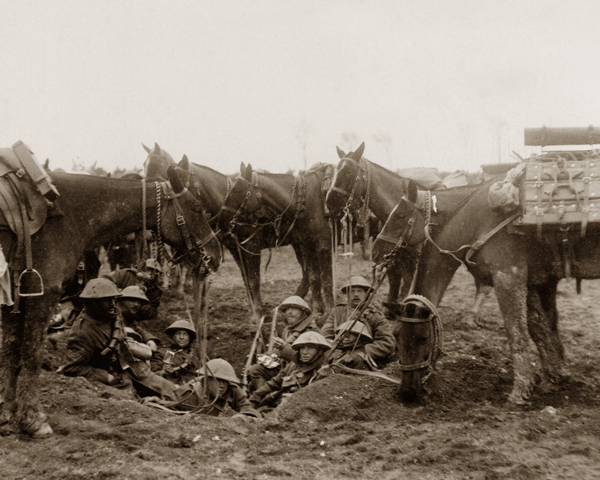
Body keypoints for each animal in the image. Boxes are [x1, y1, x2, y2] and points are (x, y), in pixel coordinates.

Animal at [0, 156, 221, 436]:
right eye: (195, 208)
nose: (215, 255)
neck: (69, 213)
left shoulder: (13, 299)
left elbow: (9, 349)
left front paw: (7, 414)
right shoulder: (43, 295)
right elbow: (31, 353)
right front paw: (33, 419)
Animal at [145, 142, 312, 318]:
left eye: (180, 179)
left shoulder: (251, 247)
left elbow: (254, 280)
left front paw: (258, 313)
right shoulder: (235, 248)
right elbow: (246, 279)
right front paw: (253, 309)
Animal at [219, 162, 336, 312]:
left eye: (239, 189)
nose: (222, 218)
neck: (308, 199)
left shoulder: (323, 244)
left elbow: (253, 280)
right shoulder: (306, 243)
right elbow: (247, 279)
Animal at [370, 178, 568, 404]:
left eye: (400, 216)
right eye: (397, 337)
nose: (407, 393)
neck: (476, 221)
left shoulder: (509, 276)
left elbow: (517, 331)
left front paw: (521, 390)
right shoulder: (537, 281)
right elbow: (541, 326)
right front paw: (553, 377)